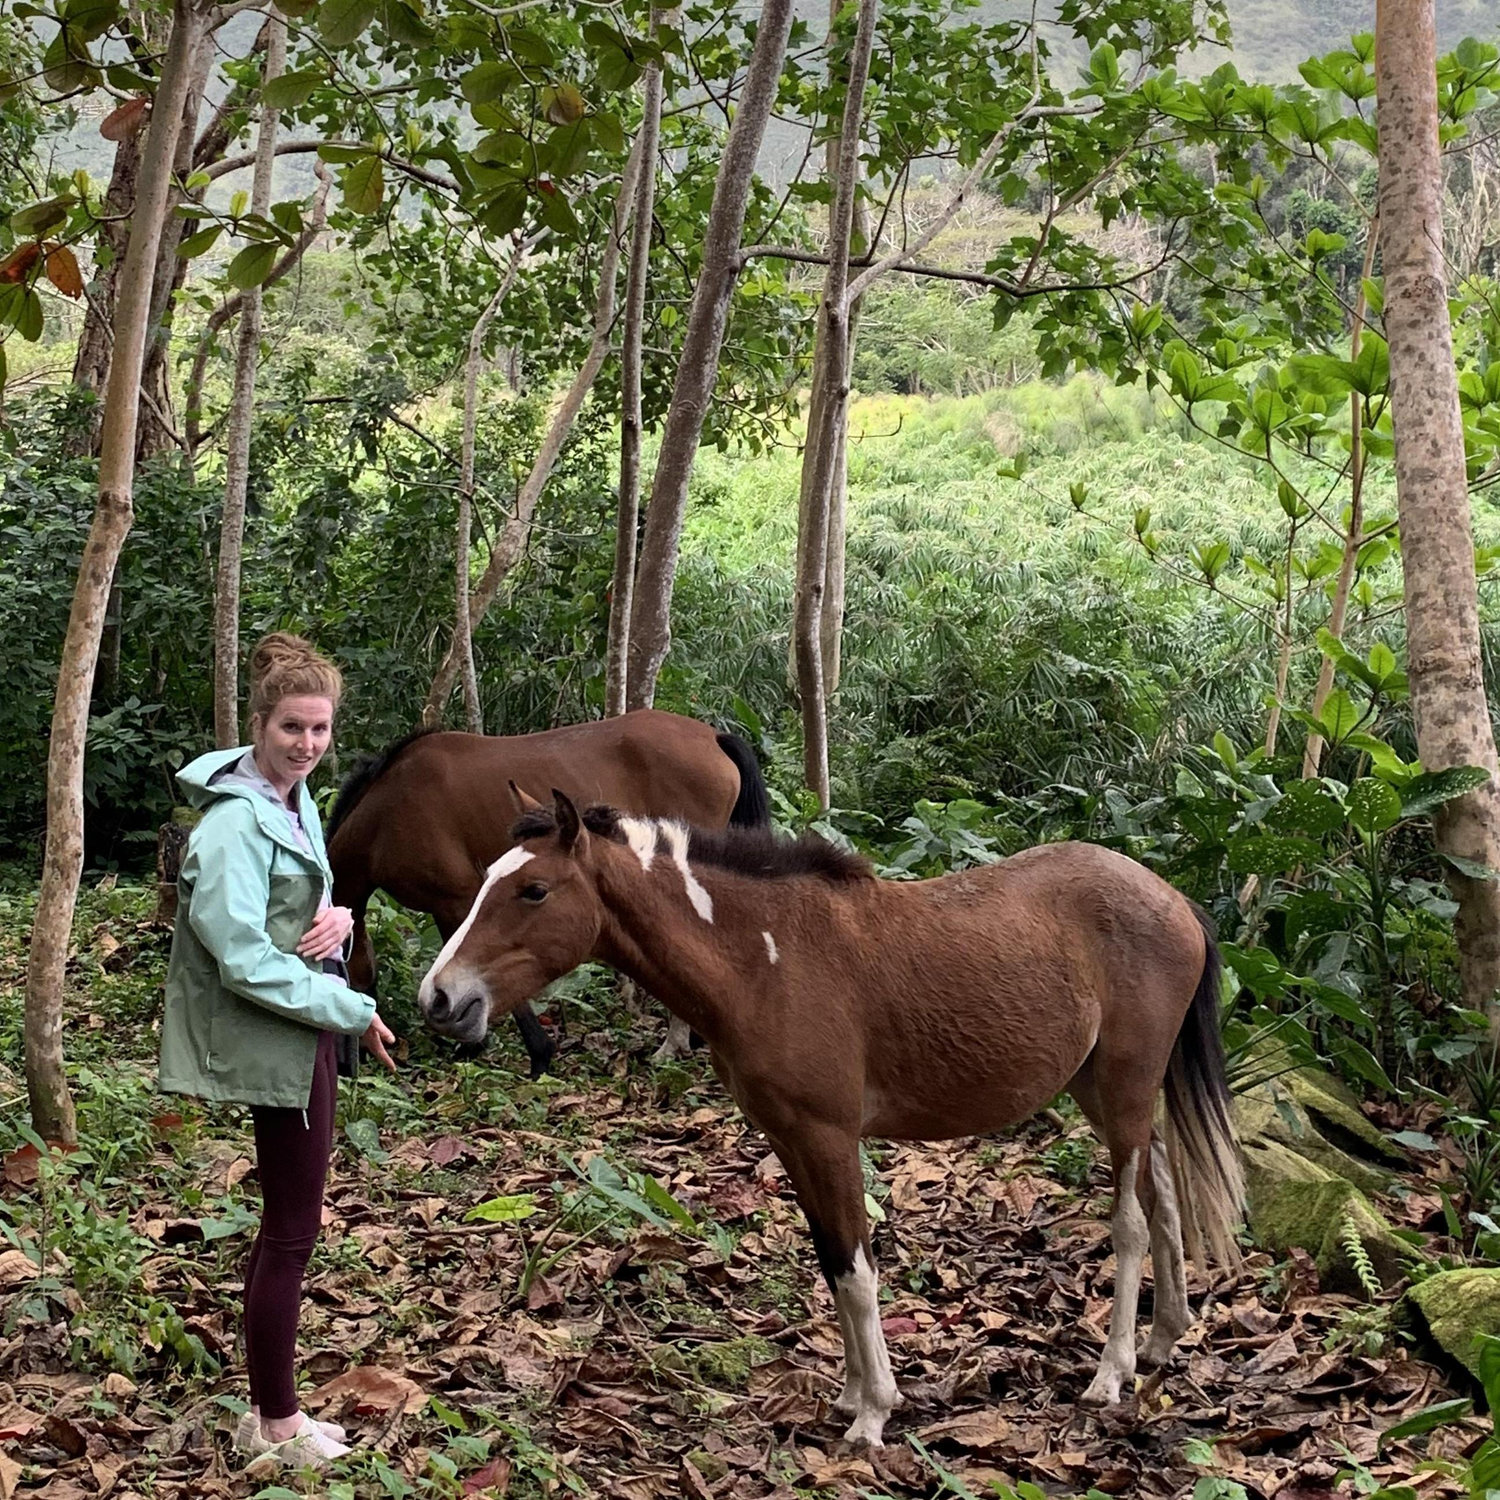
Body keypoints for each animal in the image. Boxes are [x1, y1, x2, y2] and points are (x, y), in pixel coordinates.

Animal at [327, 711, 769, 1075]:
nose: (349, 1065)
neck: (388, 813)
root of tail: (713, 736)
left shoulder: (456, 898)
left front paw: (529, 1053)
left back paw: (672, 1045)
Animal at [417, 789, 1244, 1447]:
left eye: (533, 889)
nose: (439, 998)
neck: (762, 959)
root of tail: (1176, 901)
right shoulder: (790, 1140)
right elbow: (830, 1261)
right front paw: (851, 1393)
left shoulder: (829, 1137)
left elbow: (855, 1267)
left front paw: (874, 1411)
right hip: (1100, 1092)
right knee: (1164, 1197)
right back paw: (1164, 1339)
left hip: (1126, 1089)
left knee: (1131, 1221)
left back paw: (1112, 1372)